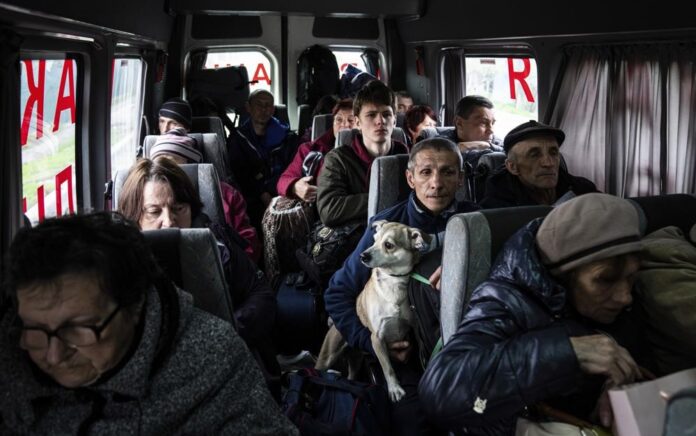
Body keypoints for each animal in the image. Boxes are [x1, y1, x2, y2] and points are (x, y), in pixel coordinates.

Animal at [316, 221, 430, 402]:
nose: (363, 256)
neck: (393, 282)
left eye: (388, 245)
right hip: (327, 357)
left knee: (351, 376)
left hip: (355, 360)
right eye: (374, 241)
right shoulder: (377, 339)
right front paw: (394, 389)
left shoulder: (415, 329)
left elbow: (421, 352)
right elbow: (387, 367)